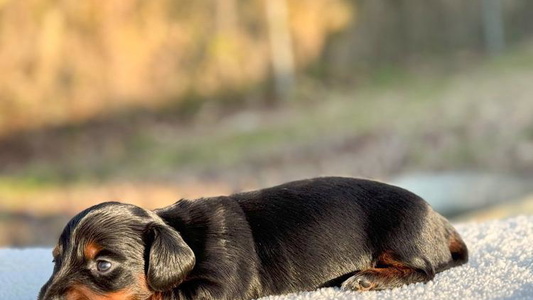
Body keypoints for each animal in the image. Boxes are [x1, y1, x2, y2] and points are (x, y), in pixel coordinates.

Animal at [39, 177, 466, 298]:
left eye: (103, 264)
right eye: (55, 259)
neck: (184, 235)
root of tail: (441, 222)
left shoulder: (219, 285)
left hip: (401, 232)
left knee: (424, 270)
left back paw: (368, 278)